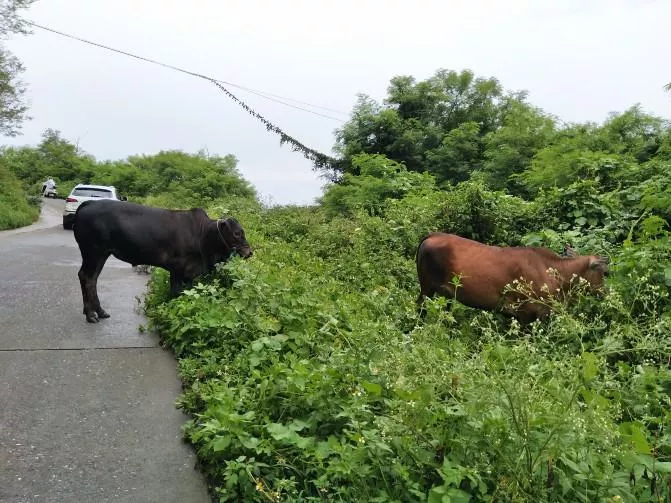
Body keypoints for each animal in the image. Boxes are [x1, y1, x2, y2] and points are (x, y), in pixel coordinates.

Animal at [73, 200, 252, 322]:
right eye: (237, 233)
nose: (249, 252)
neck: (201, 234)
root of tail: (89, 203)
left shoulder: (189, 273)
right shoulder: (177, 268)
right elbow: (176, 293)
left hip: (101, 254)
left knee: (92, 279)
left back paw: (99, 312)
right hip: (93, 252)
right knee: (87, 277)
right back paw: (91, 315)